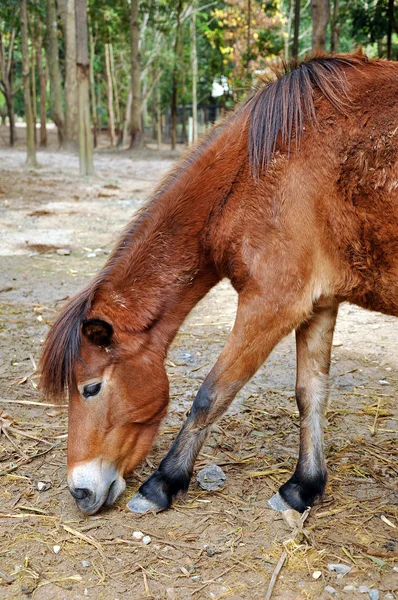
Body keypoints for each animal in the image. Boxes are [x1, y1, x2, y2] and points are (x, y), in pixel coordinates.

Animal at [39, 52, 398, 516]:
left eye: (92, 388)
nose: (80, 493)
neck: (259, 166)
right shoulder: (318, 303)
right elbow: (310, 393)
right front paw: (302, 488)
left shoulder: (271, 305)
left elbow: (212, 394)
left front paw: (162, 484)